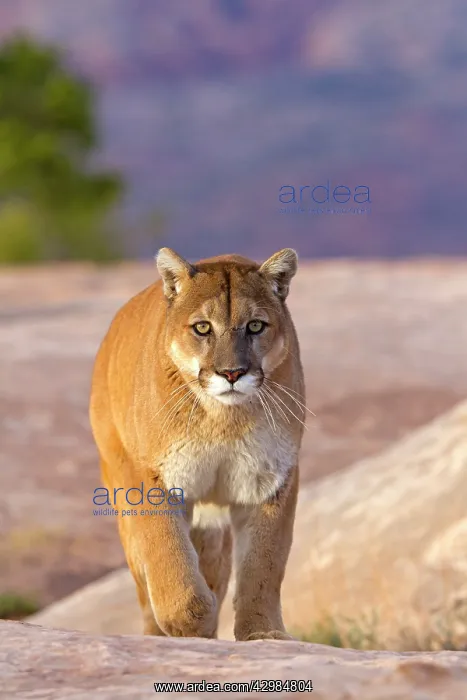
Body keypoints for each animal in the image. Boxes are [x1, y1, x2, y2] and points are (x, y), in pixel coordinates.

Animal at [89, 247, 306, 641]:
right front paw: (188, 622)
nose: (232, 373)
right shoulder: (155, 477)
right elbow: (167, 553)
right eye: (203, 328)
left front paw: (263, 632)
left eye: (255, 326)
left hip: (212, 525)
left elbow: (264, 564)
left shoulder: (272, 478)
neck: (224, 420)